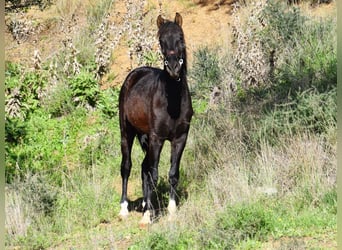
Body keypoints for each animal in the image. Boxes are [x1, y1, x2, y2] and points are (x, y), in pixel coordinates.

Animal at [118, 12, 192, 226]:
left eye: (181, 37)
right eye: (161, 41)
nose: (174, 68)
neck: (172, 103)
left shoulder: (180, 138)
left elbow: (173, 174)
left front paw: (171, 210)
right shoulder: (157, 139)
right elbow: (154, 174)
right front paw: (147, 216)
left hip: (145, 138)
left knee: (144, 168)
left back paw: (145, 203)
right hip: (127, 133)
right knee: (127, 167)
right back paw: (124, 209)